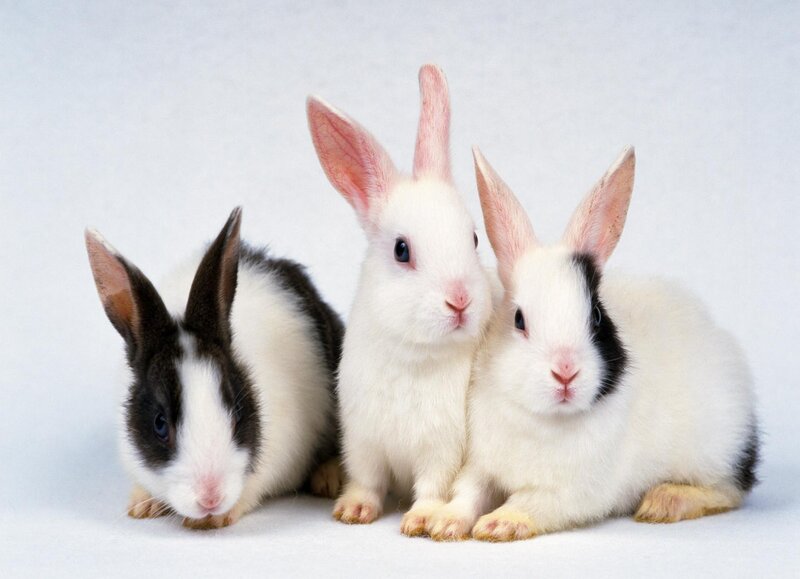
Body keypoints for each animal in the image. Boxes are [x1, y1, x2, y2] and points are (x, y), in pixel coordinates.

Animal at [85, 207, 344, 529]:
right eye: (160, 423)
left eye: (237, 411)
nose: (211, 498)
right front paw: (142, 505)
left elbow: (252, 490)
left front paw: (215, 519)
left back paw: (329, 479)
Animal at [306, 65, 495, 535]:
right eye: (401, 250)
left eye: (474, 238)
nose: (460, 300)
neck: (413, 355)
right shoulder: (364, 441)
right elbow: (367, 480)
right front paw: (353, 511)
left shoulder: (441, 450)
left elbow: (432, 486)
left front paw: (422, 519)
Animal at [426, 147, 759, 542]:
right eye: (519, 320)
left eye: (597, 317)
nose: (565, 372)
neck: (543, 419)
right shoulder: (481, 464)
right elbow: (468, 492)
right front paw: (445, 522)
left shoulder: (570, 493)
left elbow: (529, 502)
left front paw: (498, 524)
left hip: (715, 450)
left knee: (730, 489)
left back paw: (664, 501)